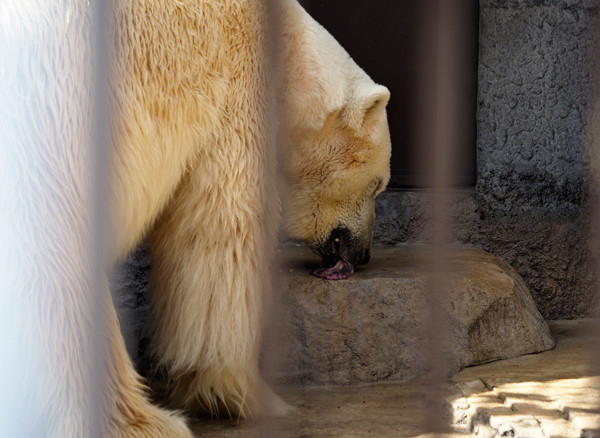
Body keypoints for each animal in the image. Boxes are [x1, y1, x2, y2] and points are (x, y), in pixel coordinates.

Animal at [0, 0, 392, 434]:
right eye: (378, 185)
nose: (364, 255)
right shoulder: (233, 84)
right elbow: (220, 234)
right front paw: (238, 390)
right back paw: (142, 422)